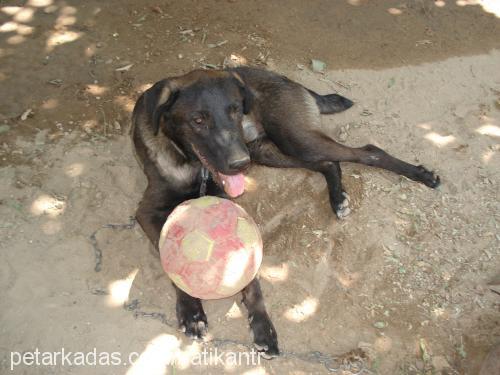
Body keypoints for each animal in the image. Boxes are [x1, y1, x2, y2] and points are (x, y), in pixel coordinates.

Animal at [131, 67, 440, 358]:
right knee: (329, 163)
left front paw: (263, 326)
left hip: (290, 140)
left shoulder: (233, 208)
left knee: (367, 151)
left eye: (235, 110)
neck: (192, 163)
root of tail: (286, 79)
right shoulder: (147, 212)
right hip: (268, 152)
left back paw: (420, 175)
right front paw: (191, 312)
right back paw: (338, 197)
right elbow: (171, 260)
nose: (239, 164)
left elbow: (251, 277)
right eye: (198, 120)